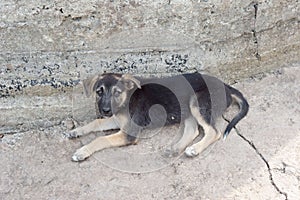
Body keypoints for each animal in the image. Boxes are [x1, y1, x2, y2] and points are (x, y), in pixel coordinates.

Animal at [65, 72, 248, 162]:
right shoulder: (116, 119)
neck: (127, 99)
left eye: (117, 92)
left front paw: (82, 152)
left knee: (213, 132)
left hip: (196, 102)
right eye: (99, 91)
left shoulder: (128, 133)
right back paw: (174, 149)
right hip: (185, 108)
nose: (105, 110)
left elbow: (100, 139)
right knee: (193, 130)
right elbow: (95, 123)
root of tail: (226, 86)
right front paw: (76, 131)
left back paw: (195, 149)